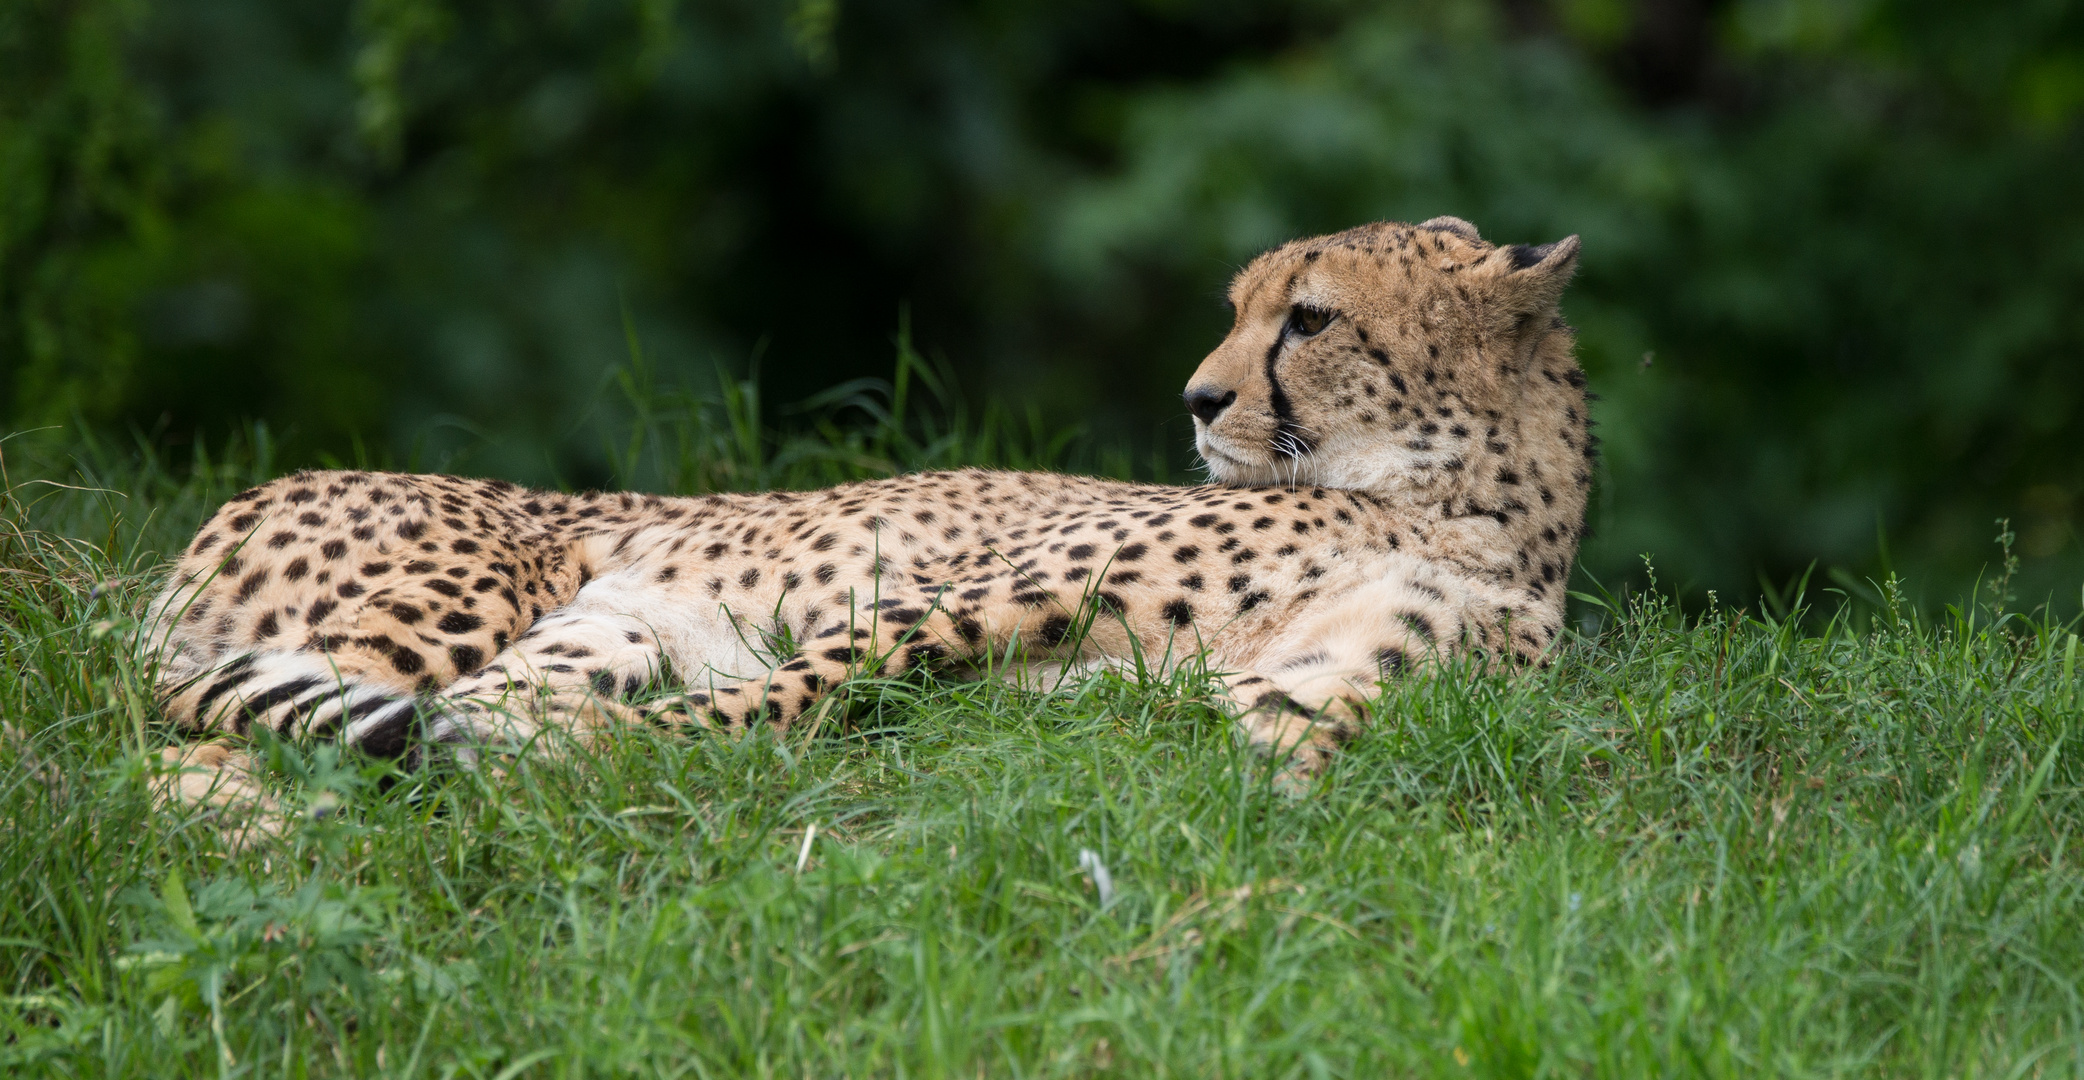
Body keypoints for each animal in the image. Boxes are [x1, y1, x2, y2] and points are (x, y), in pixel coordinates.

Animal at [146, 222, 1592, 821]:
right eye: (1241, 309)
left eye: (1310, 318)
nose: (1196, 399)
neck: (1450, 507)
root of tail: (227, 510)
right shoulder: (963, 599)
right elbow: (792, 687)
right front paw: (635, 761)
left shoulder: (1303, 692)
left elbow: (1274, 763)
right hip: (478, 591)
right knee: (187, 752)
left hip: (588, 632)